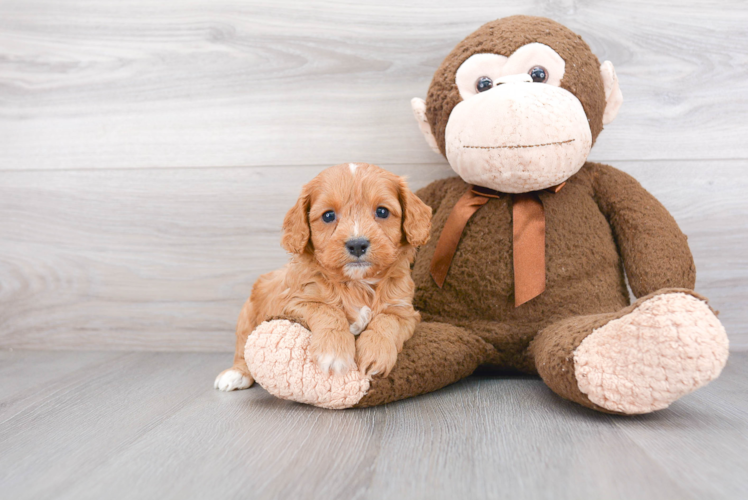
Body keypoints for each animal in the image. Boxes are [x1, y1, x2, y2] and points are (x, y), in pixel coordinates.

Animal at [213, 163, 430, 390]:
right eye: (328, 216)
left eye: (382, 211)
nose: (357, 244)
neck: (357, 284)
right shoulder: (293, 302)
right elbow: (327, 309)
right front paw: (334, 353)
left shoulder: (404, 311)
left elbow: (387, 320)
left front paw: (375, 352)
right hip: (247, 316)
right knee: (243, 347)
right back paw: (235, 374)